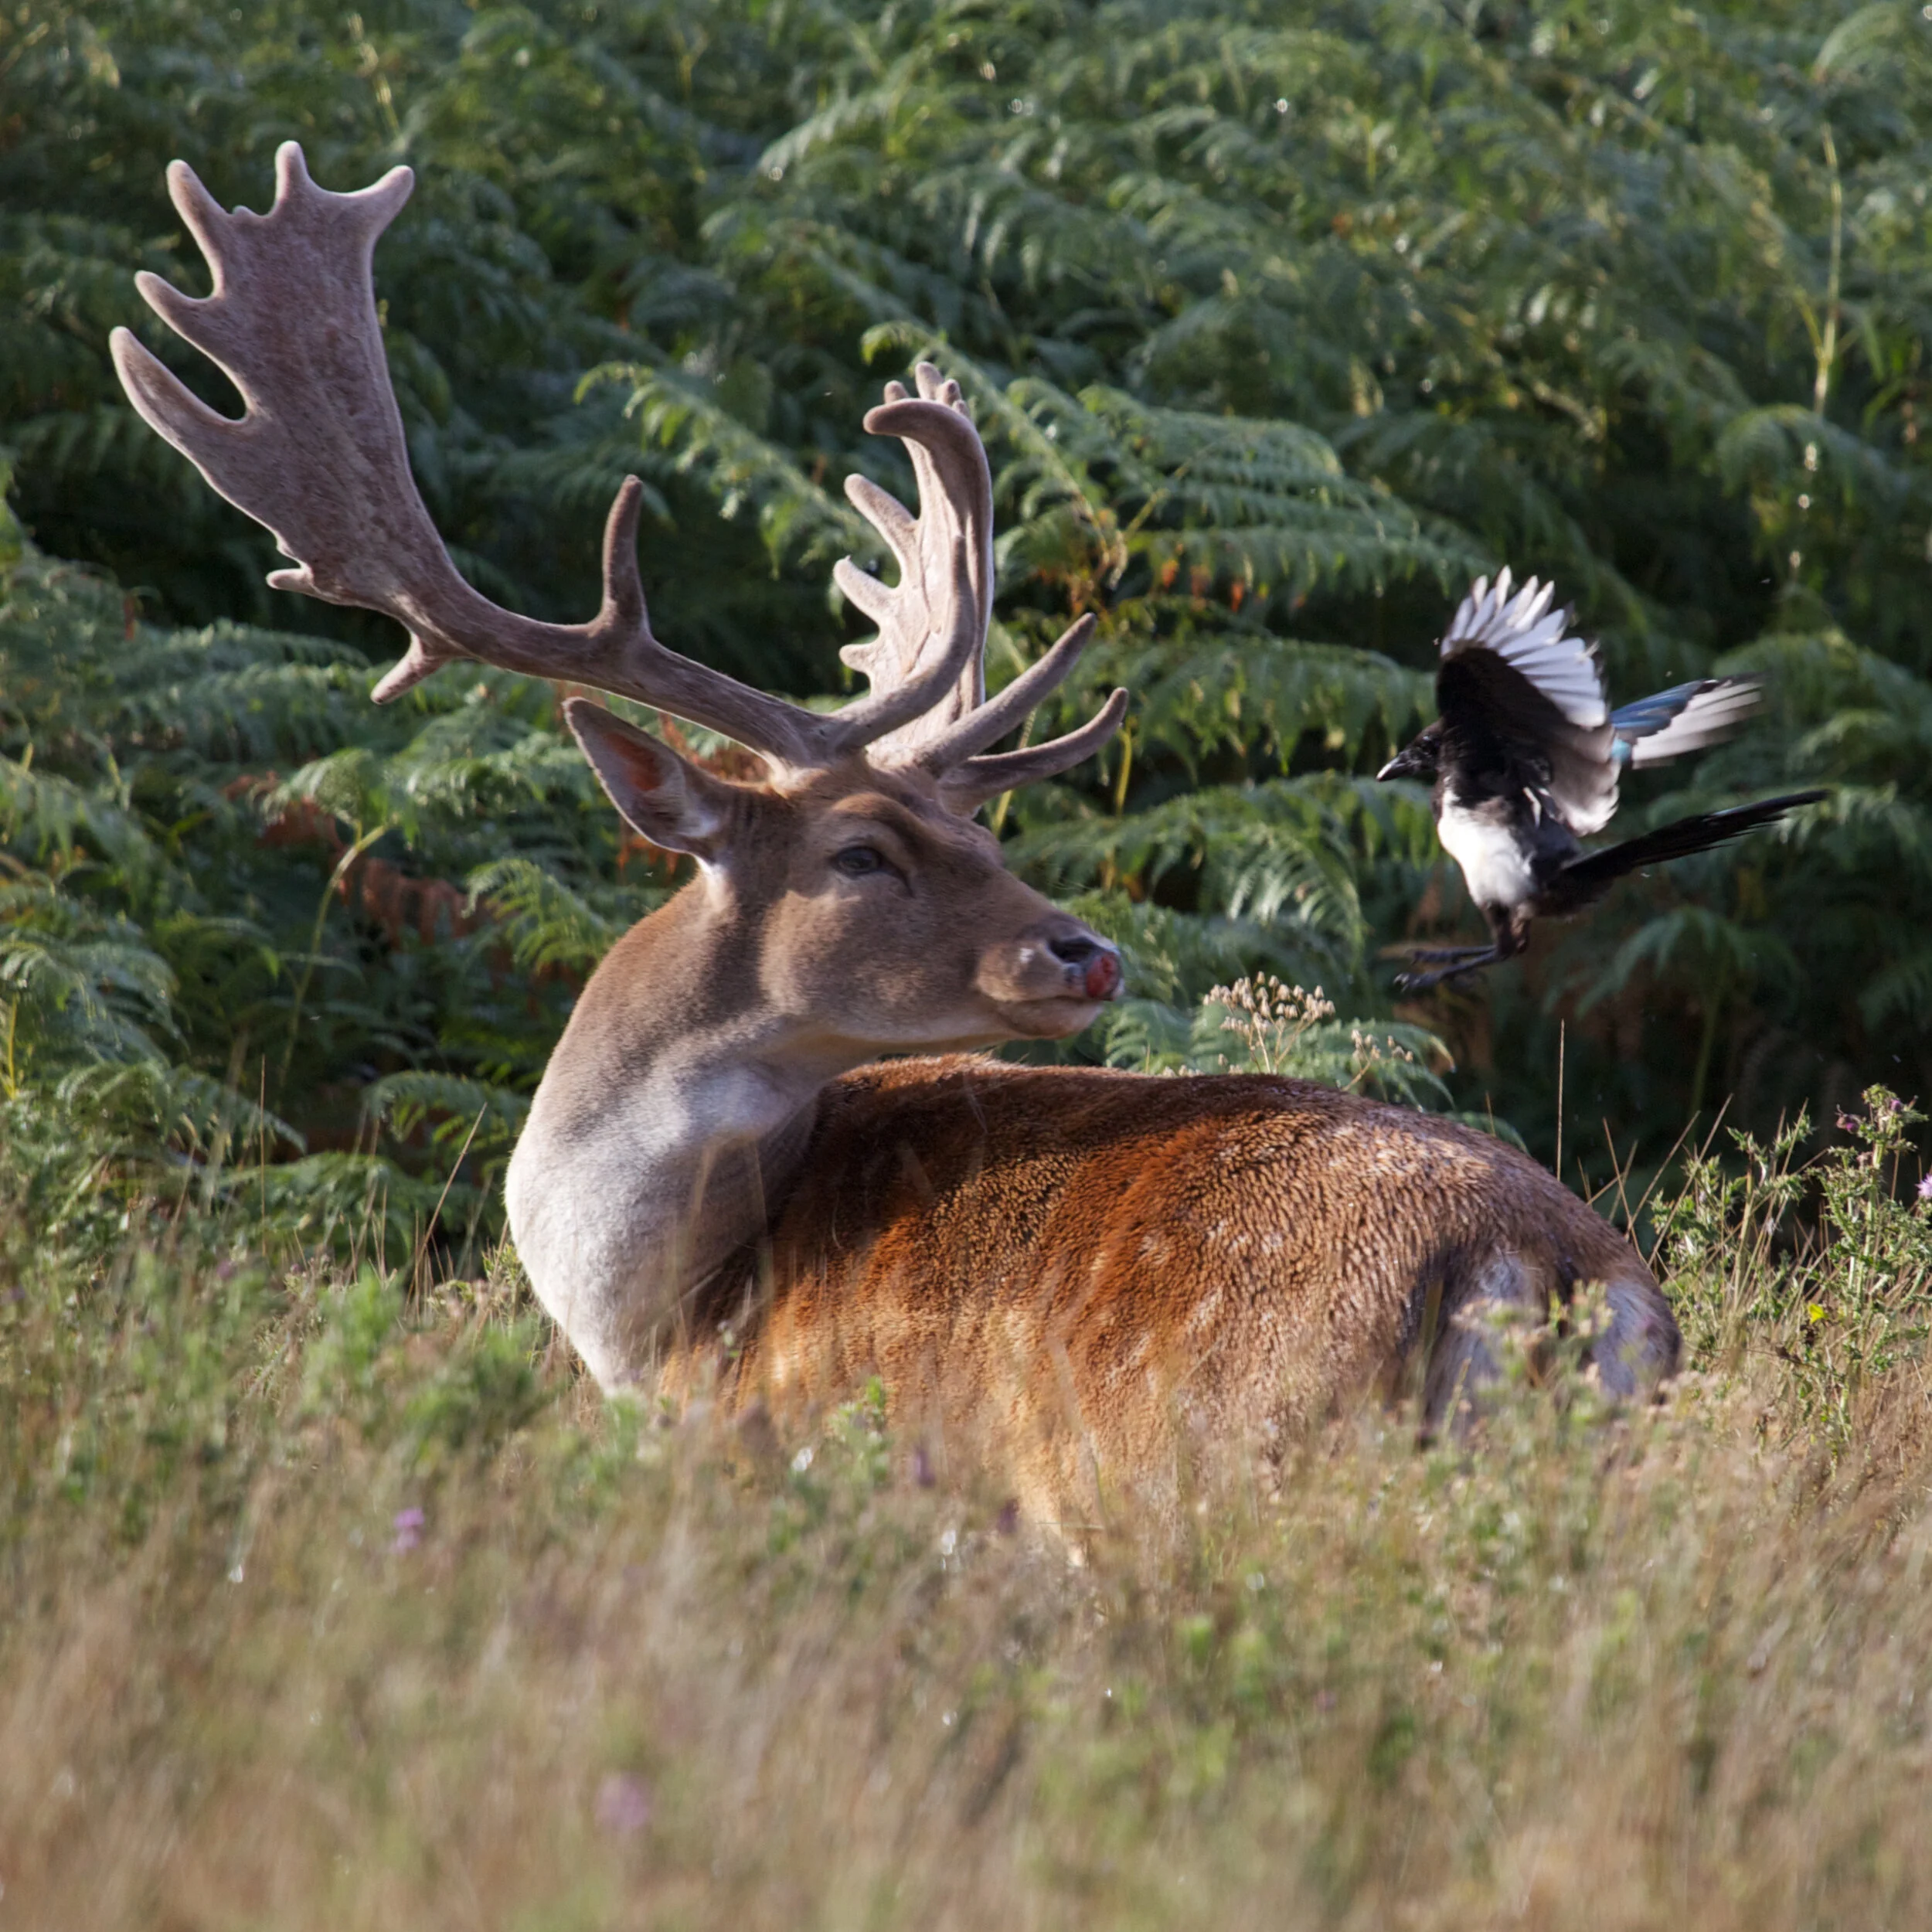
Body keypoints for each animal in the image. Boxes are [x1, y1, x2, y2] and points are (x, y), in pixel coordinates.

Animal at [112, 145, 1679, 1519]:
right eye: (866, 852)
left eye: (974, 844)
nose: (1085, 956)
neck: (662, 1316)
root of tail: (1537, 1271)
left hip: (1206, 1462)